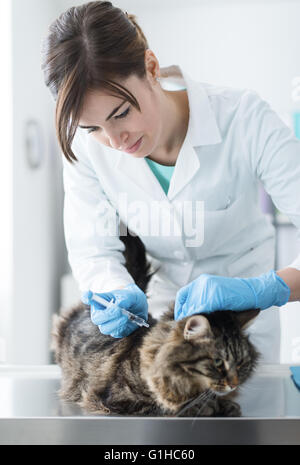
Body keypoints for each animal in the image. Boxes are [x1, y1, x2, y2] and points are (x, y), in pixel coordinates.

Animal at [52, 230, 260, 416]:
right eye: (217, 362)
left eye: (241, 363)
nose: (234, 384)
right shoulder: (116, 398)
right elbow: (165, 406)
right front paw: (205, 407)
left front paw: (225, 405)